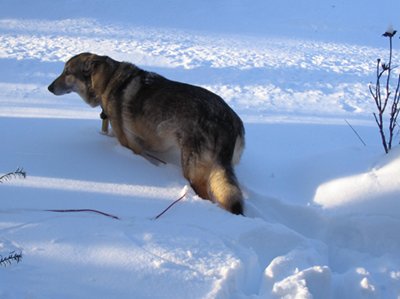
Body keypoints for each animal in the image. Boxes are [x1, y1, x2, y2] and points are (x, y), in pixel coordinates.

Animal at [48, 52, 245, 214]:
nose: (49, 88)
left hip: (192, 170)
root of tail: (227, 120)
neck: (108, 81)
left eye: (67, 72)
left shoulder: (128, 143)